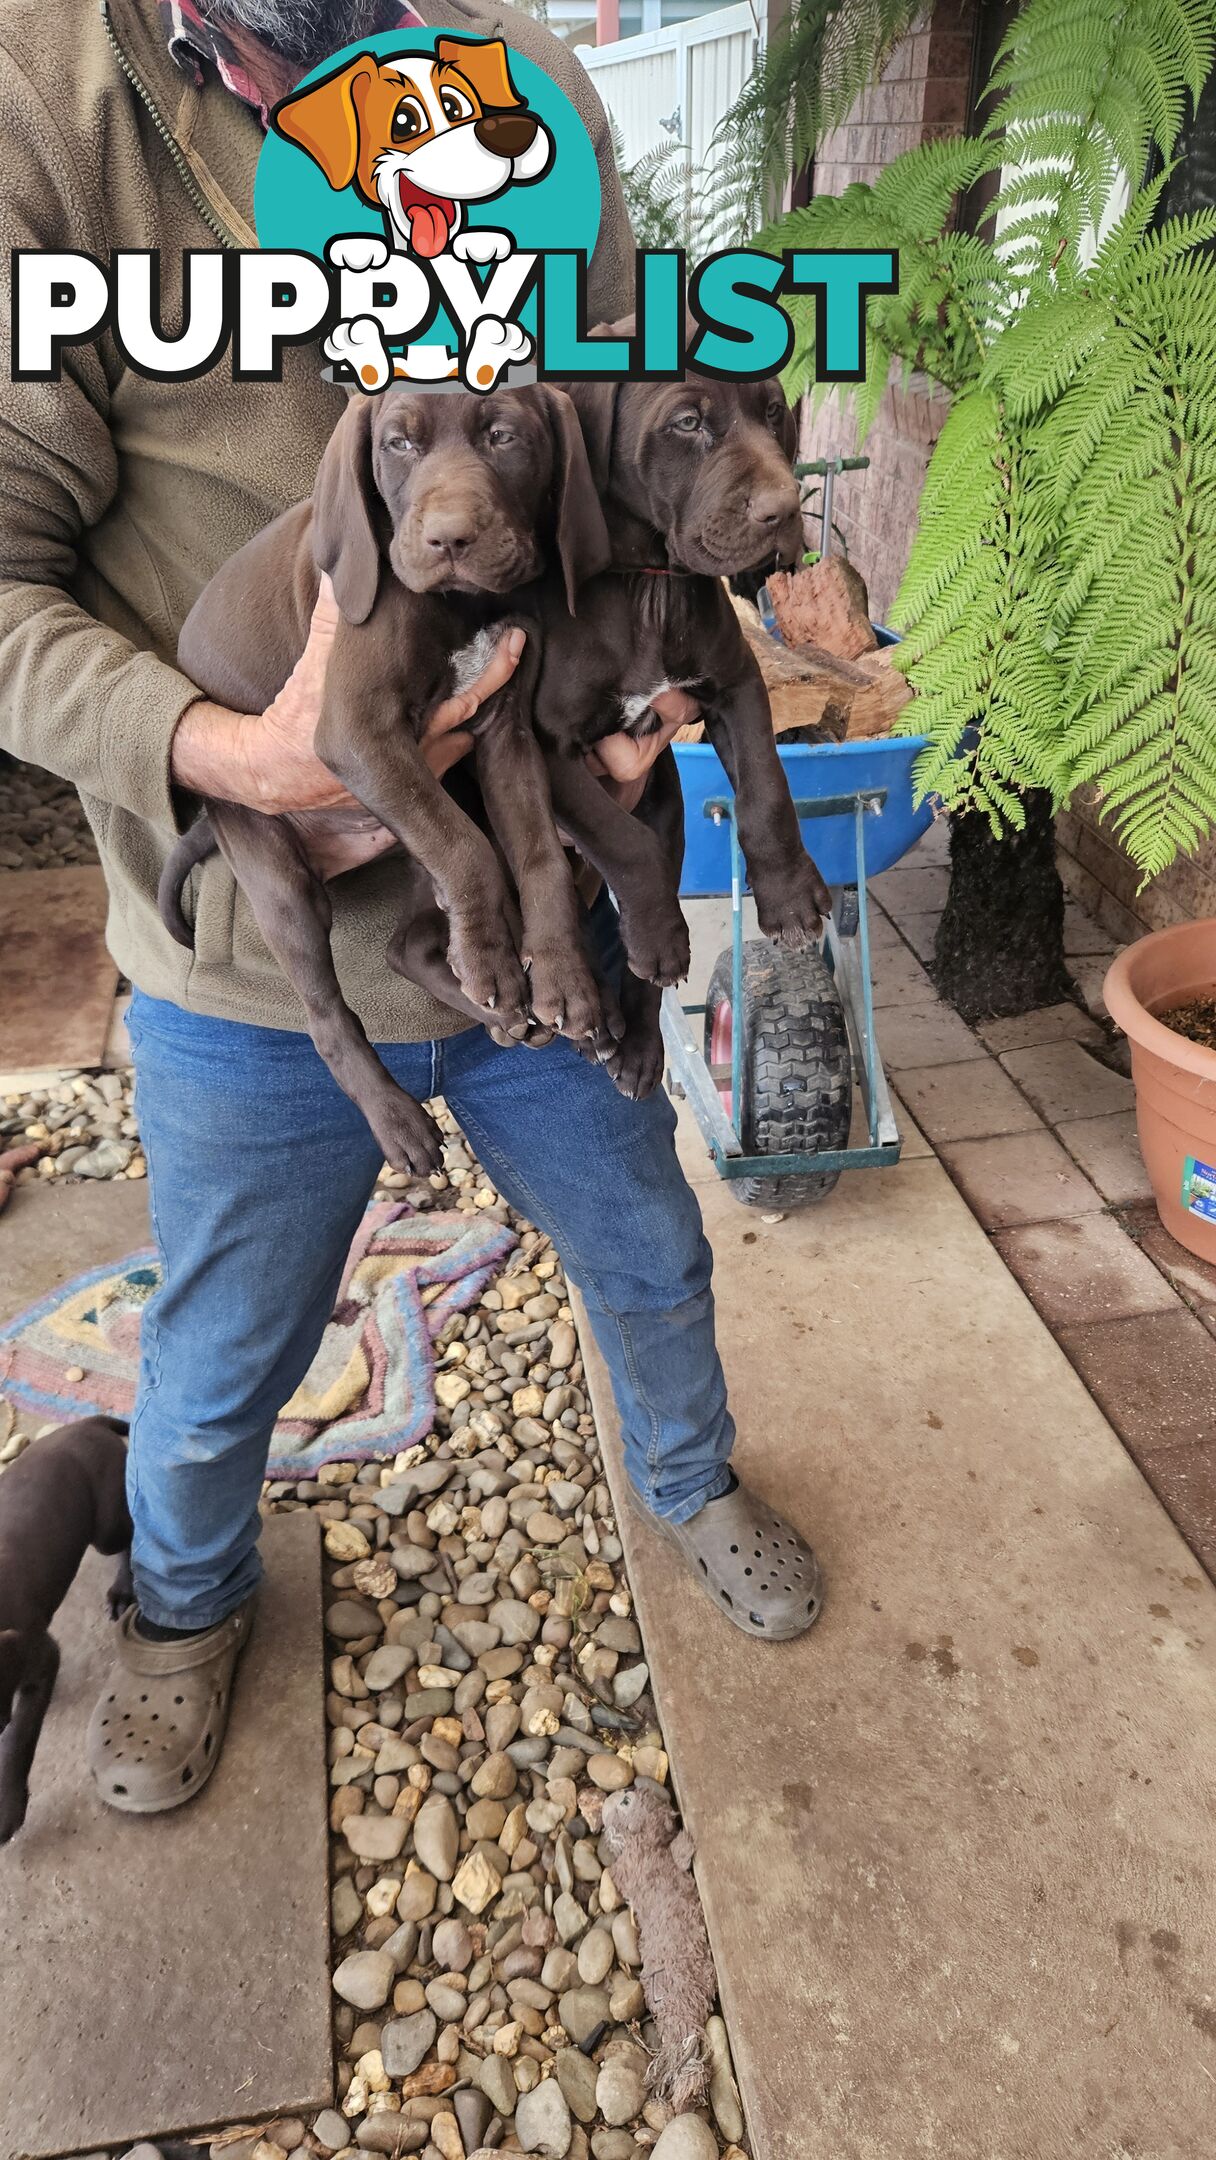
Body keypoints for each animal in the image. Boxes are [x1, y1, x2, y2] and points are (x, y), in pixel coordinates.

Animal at [0, 1416, 132, 1840]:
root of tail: (87, 1423)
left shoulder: (41, 1657)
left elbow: (19, 1737)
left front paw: (8, 1807)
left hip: (107, 1526)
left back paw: (123, 1589)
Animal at [161, 382, 613, 1175]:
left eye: (504, 437)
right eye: (399, 444)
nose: (450, 540)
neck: (460, 605)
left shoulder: (506, 735)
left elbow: (535, 858)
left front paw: (561, 977)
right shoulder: (357, 736)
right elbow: (472, 852)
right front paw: (495, 962)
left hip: (409, 819)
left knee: (408, 943)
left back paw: (510, 1011)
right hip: (283, 873)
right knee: (326, 1012)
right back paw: (399, 1114)